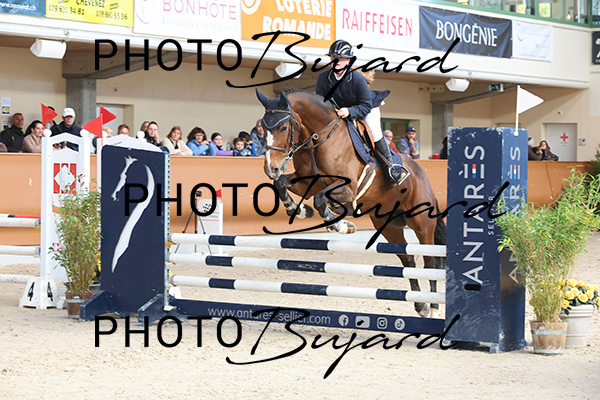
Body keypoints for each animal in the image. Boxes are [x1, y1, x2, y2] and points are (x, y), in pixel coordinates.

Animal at [256, 89, 446, 318]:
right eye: (263, 128)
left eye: (283, 127)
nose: (271, 168)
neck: (318, 140)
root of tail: (421, 174)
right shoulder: (306, 183)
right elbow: (282, 184)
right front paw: (299, 210)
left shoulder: (347, 189)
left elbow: (321, 200)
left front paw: (341, 225)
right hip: (389, 226)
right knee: (407, 261)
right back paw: (421, 306)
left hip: (422, 224)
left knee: (430, 261)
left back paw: (434, 308)